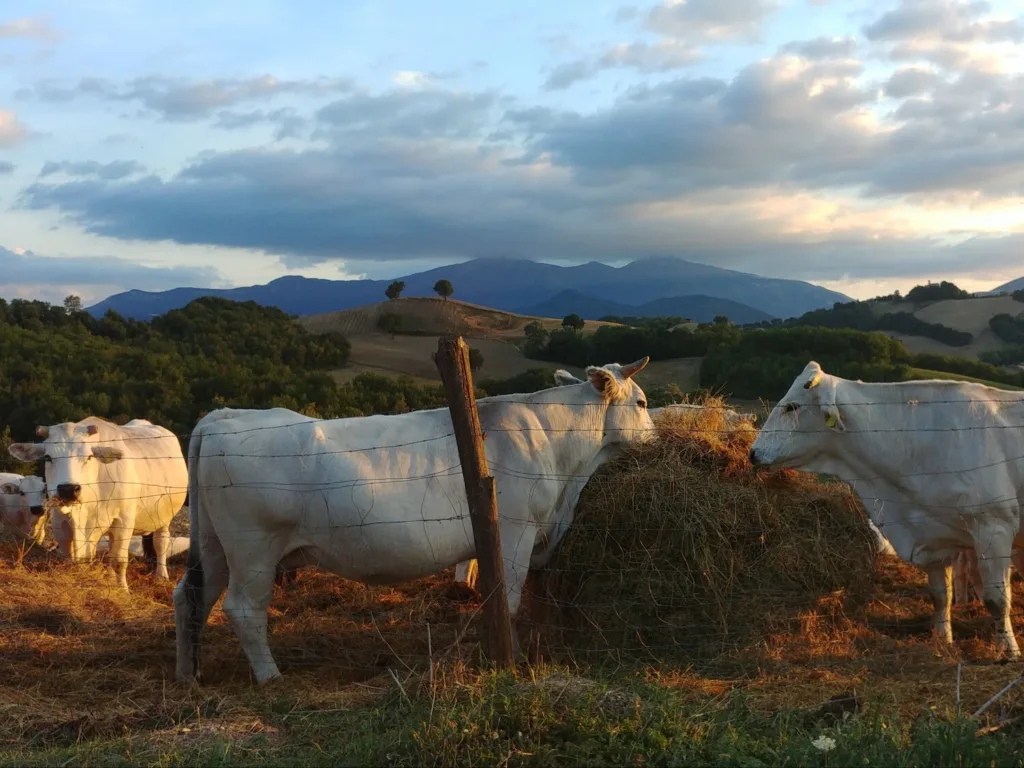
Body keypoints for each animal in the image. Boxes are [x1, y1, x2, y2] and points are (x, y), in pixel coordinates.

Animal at [9, 421, 189, 589]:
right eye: (47, 457)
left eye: (89, 457)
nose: (68, 489)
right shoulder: (61, 522)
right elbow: (74, 556)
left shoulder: (124, 521)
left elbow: (119, 560)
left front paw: (122, 590)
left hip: (164, 516)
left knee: (161, 543)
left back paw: (161, 576)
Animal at [174, 356, 655, 684]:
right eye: (643, 402)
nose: (658, 438)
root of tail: (225, 416)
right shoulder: (515, 532)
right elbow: (508, 601)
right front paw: (510, 659)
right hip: (253, 549)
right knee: (243, 608)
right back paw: (270, 676)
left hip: (215, 546)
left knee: (190, 596)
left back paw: (190, 672)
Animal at [749, 364, 1024, 659]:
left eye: (792, 407)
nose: (753, 452)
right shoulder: (933, 535)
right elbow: (940, 595)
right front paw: (941, 640)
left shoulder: (994, 527)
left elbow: (997, 599)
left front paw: (1008, 649)